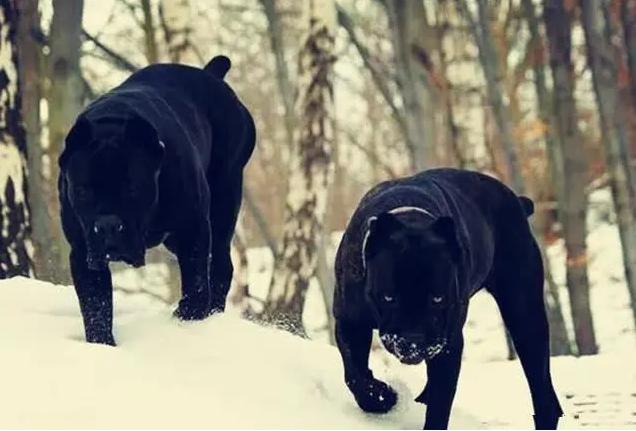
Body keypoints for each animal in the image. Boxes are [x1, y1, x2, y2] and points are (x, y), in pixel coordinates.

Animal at [58, 55, 255, 346]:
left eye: (132, 189)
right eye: (82, 191)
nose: (107, 225)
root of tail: (212, 75)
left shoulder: (193, 229)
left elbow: (196, 285)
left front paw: (186, 316)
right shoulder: (83, 251)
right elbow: (96, 307)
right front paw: (102, 345)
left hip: (224, 202)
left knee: (221, 267)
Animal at [332, 170, 560, 430]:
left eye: (437, 298)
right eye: (388, 297)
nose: (414, 338)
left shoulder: (449, 345)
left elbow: (440, 405)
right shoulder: (350, 322)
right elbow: (354, 374)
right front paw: (382, 397)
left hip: (524, 315)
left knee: (542, 388)